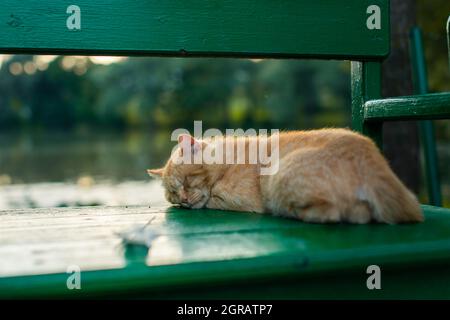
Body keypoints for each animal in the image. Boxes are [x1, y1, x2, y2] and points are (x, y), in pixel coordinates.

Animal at [147, 129, 422, 224]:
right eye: (173, 194)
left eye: (186, 182)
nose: (183, 200)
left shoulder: (233, 200)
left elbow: (212, 200)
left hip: (283, 178)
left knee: (333, 214)